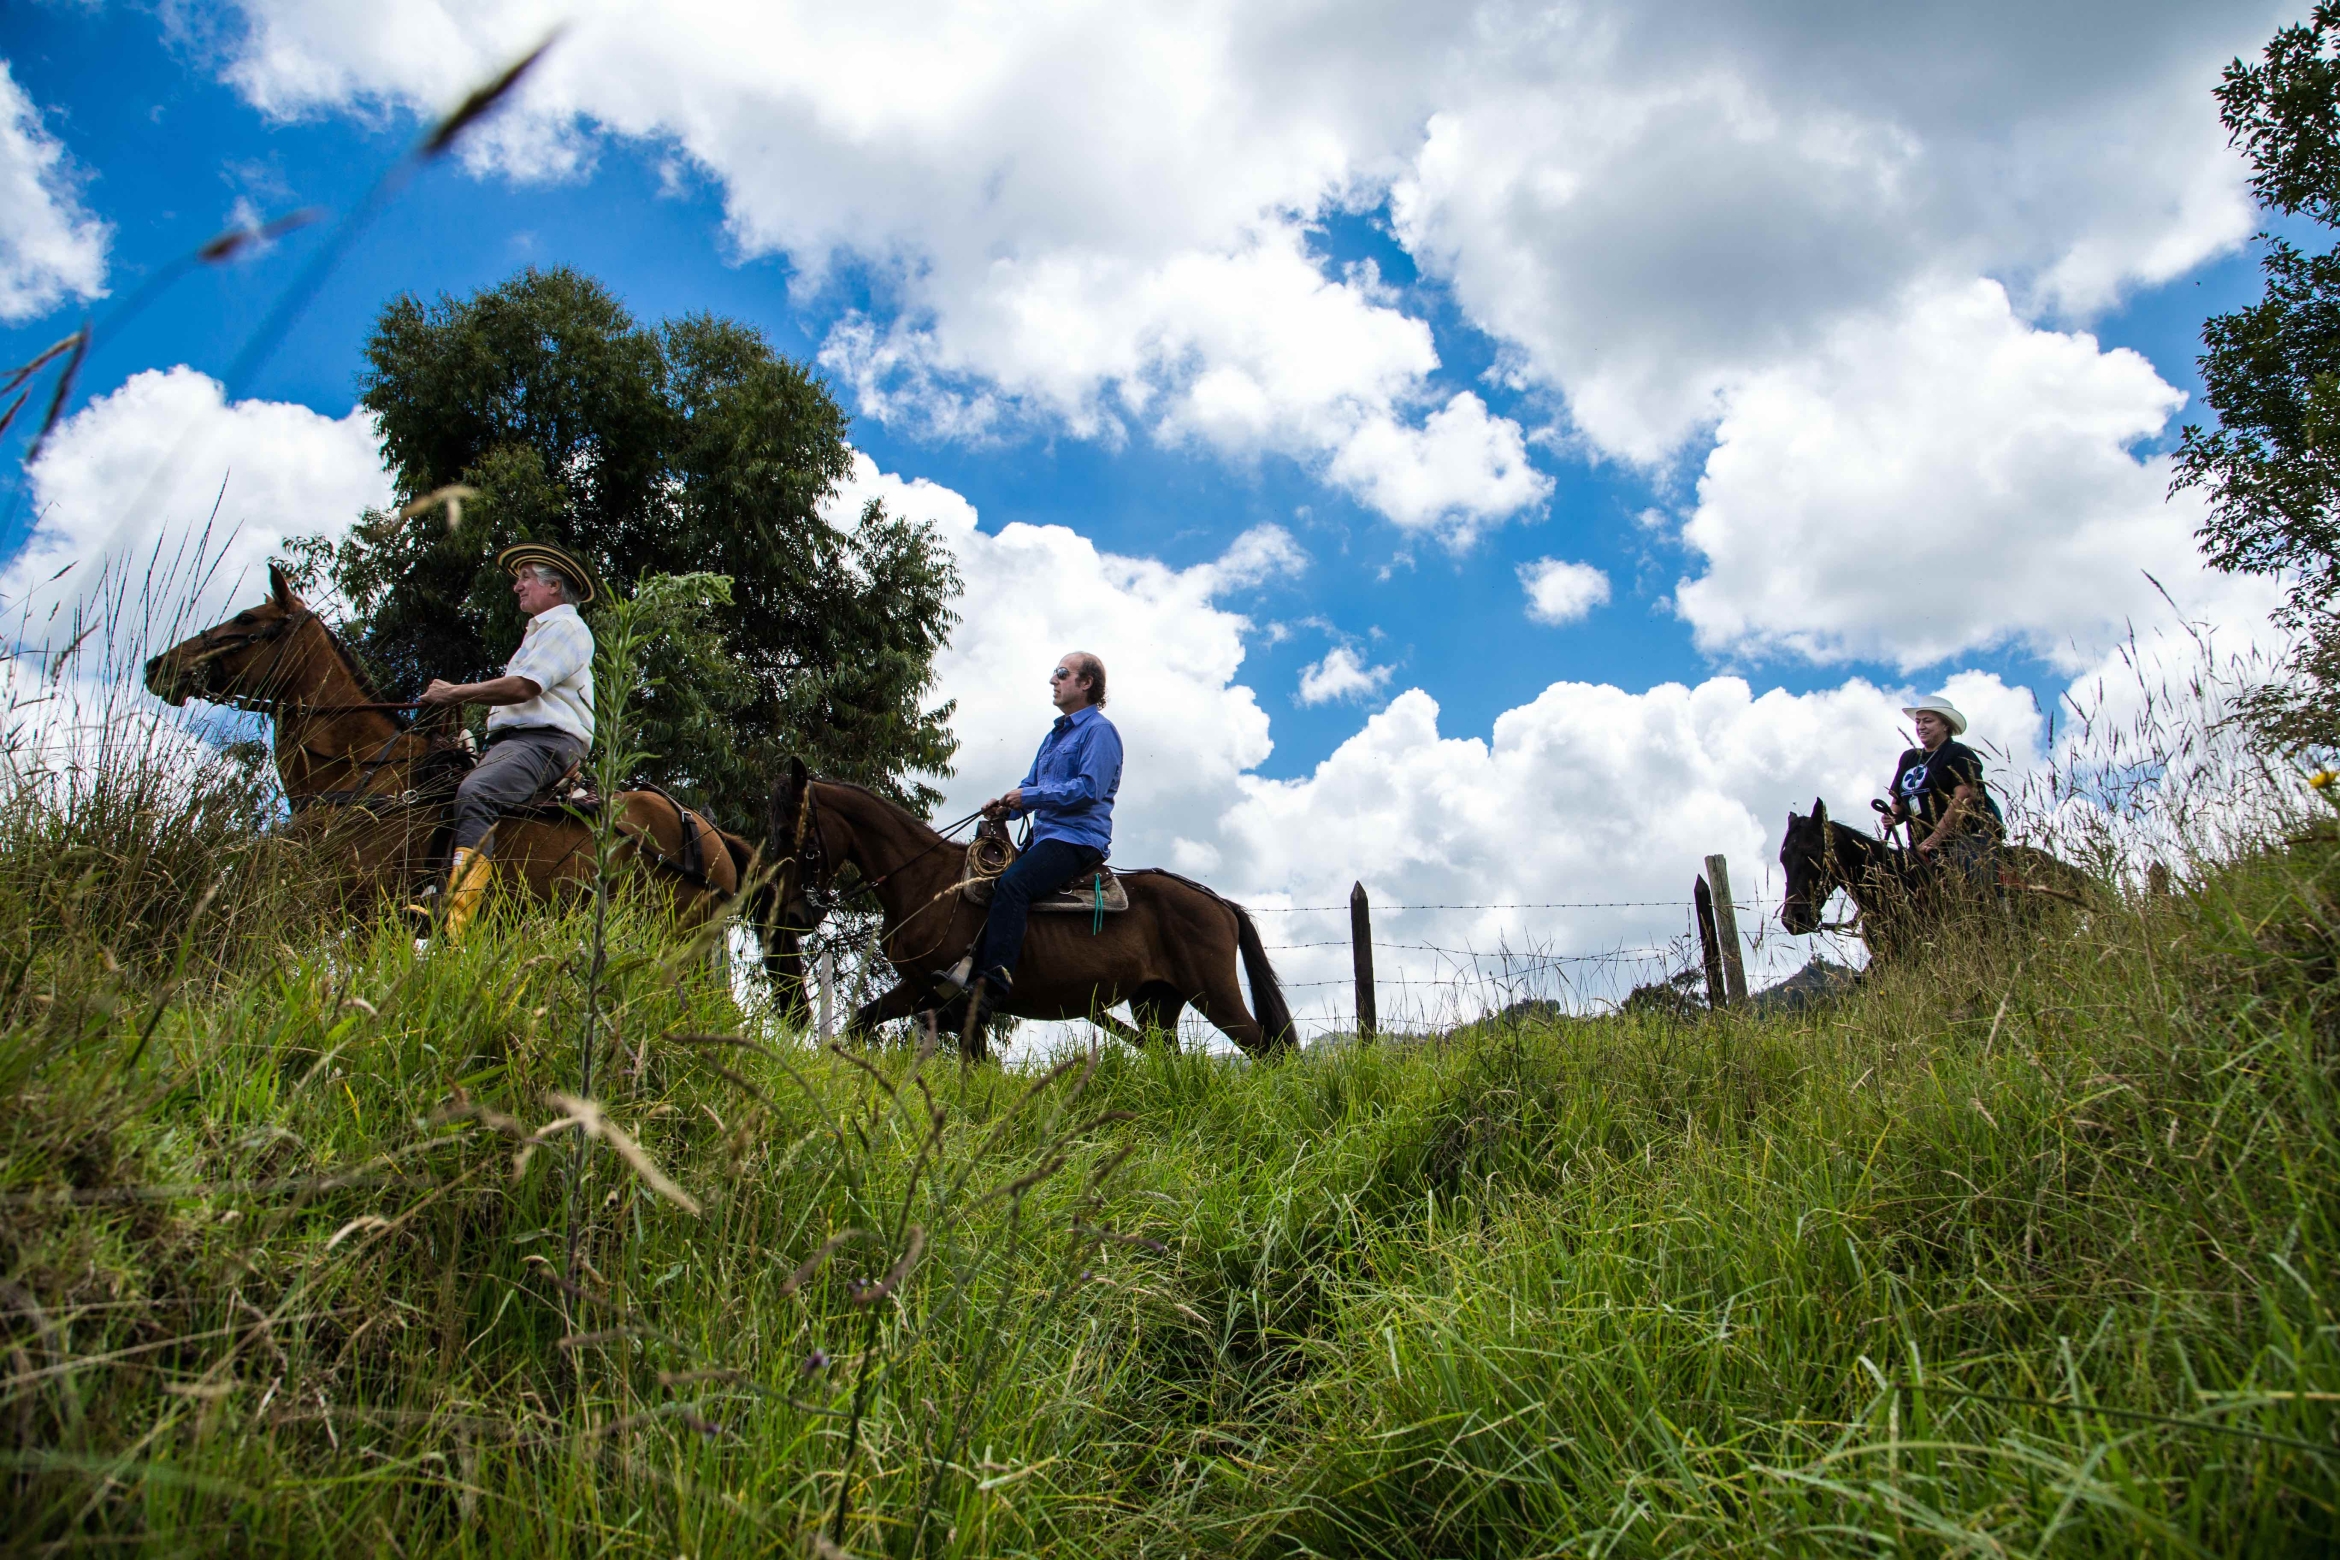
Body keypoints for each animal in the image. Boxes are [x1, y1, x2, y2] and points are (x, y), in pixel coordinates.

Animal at [767, 757, 1301, 1057]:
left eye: (795, 833)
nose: (793, 913)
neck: (925, 883)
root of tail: (1219, 903)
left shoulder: (960, 999)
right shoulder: (924, 990)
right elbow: (861, 1022)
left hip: (1215, 994)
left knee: (1268, 1050)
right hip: (1157, 1002)